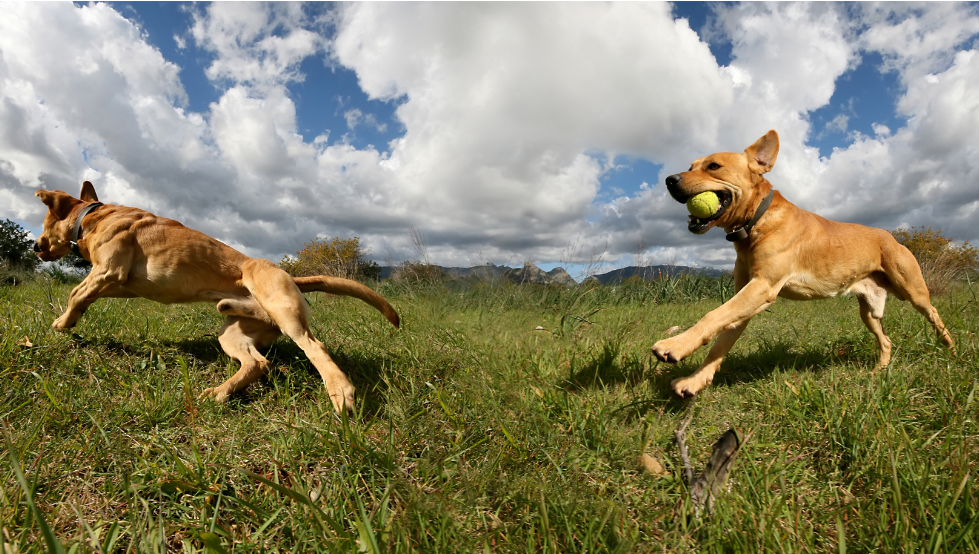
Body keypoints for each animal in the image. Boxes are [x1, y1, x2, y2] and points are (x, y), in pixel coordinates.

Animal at [656, 129, 952, 396]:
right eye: (690, 166)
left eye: (713, 166)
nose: (669, 179)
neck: (757, 221)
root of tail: (891, 237)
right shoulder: (746, 295)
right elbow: (720, 341)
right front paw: (694, 380)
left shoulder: (762, 287)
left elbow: (712, 315)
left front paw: (675, 344)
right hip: (868, 312)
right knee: (887, 340)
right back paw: (879, 370)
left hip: (913, 290)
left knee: (934, 312)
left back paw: (949, 346)